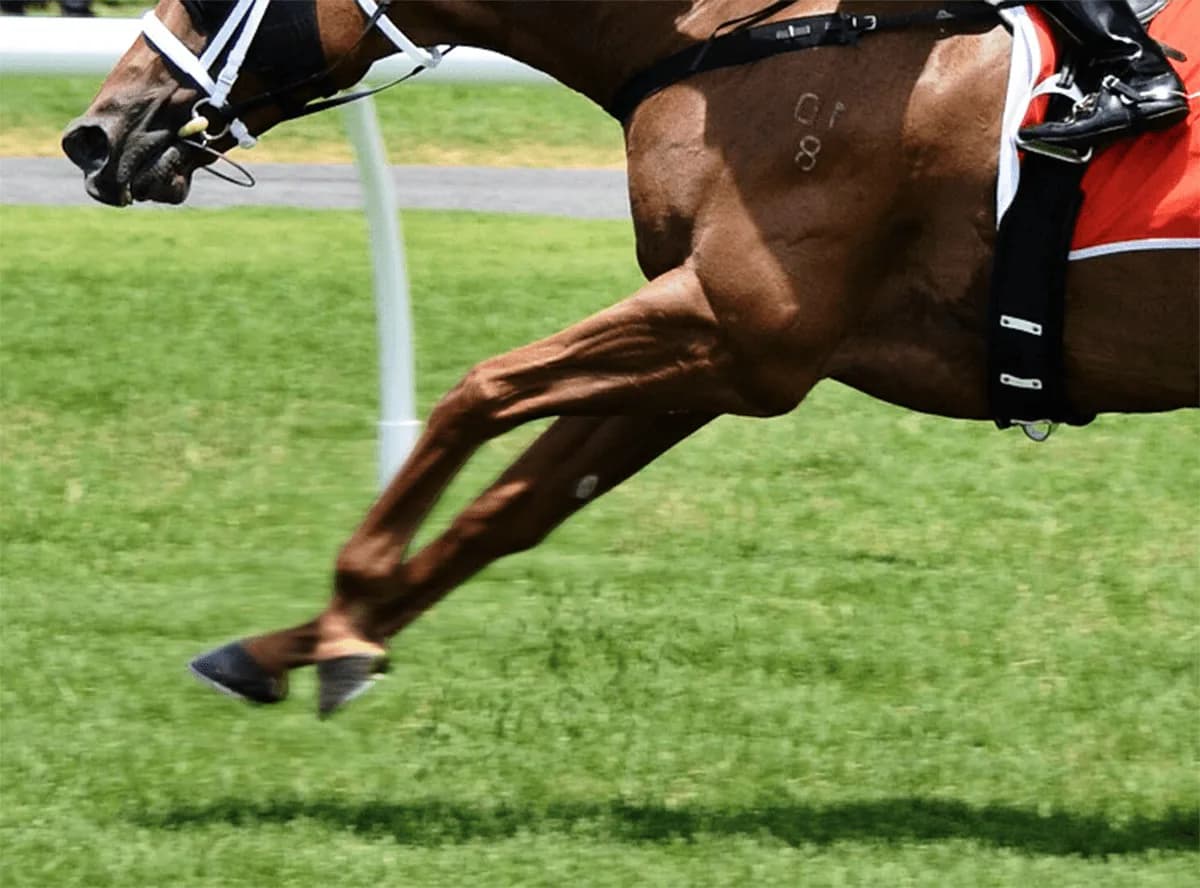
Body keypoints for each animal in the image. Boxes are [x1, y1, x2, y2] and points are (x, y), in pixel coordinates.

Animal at [61, 0, 1198, 716]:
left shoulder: (745, 326)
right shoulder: (706, 355)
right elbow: (509, 509)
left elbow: (477, 392)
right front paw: (298, 645)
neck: (740, 39)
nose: (95, 133)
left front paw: (347, 616)